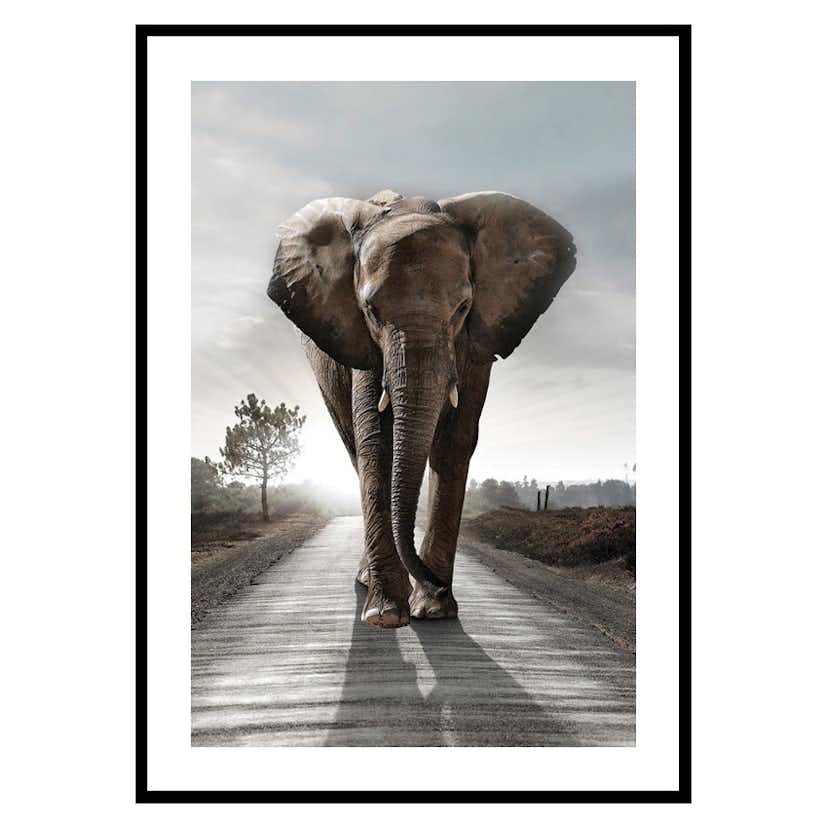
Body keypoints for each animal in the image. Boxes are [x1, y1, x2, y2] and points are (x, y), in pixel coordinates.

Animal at [268, 190, 576, 629]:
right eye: (370, 311)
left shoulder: (476, 344)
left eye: (463, 308)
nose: (434, 582)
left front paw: (434, 610)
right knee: (355, 449)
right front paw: (386, 615)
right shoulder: (363, 344)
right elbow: (377, 442)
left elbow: (454, 443)